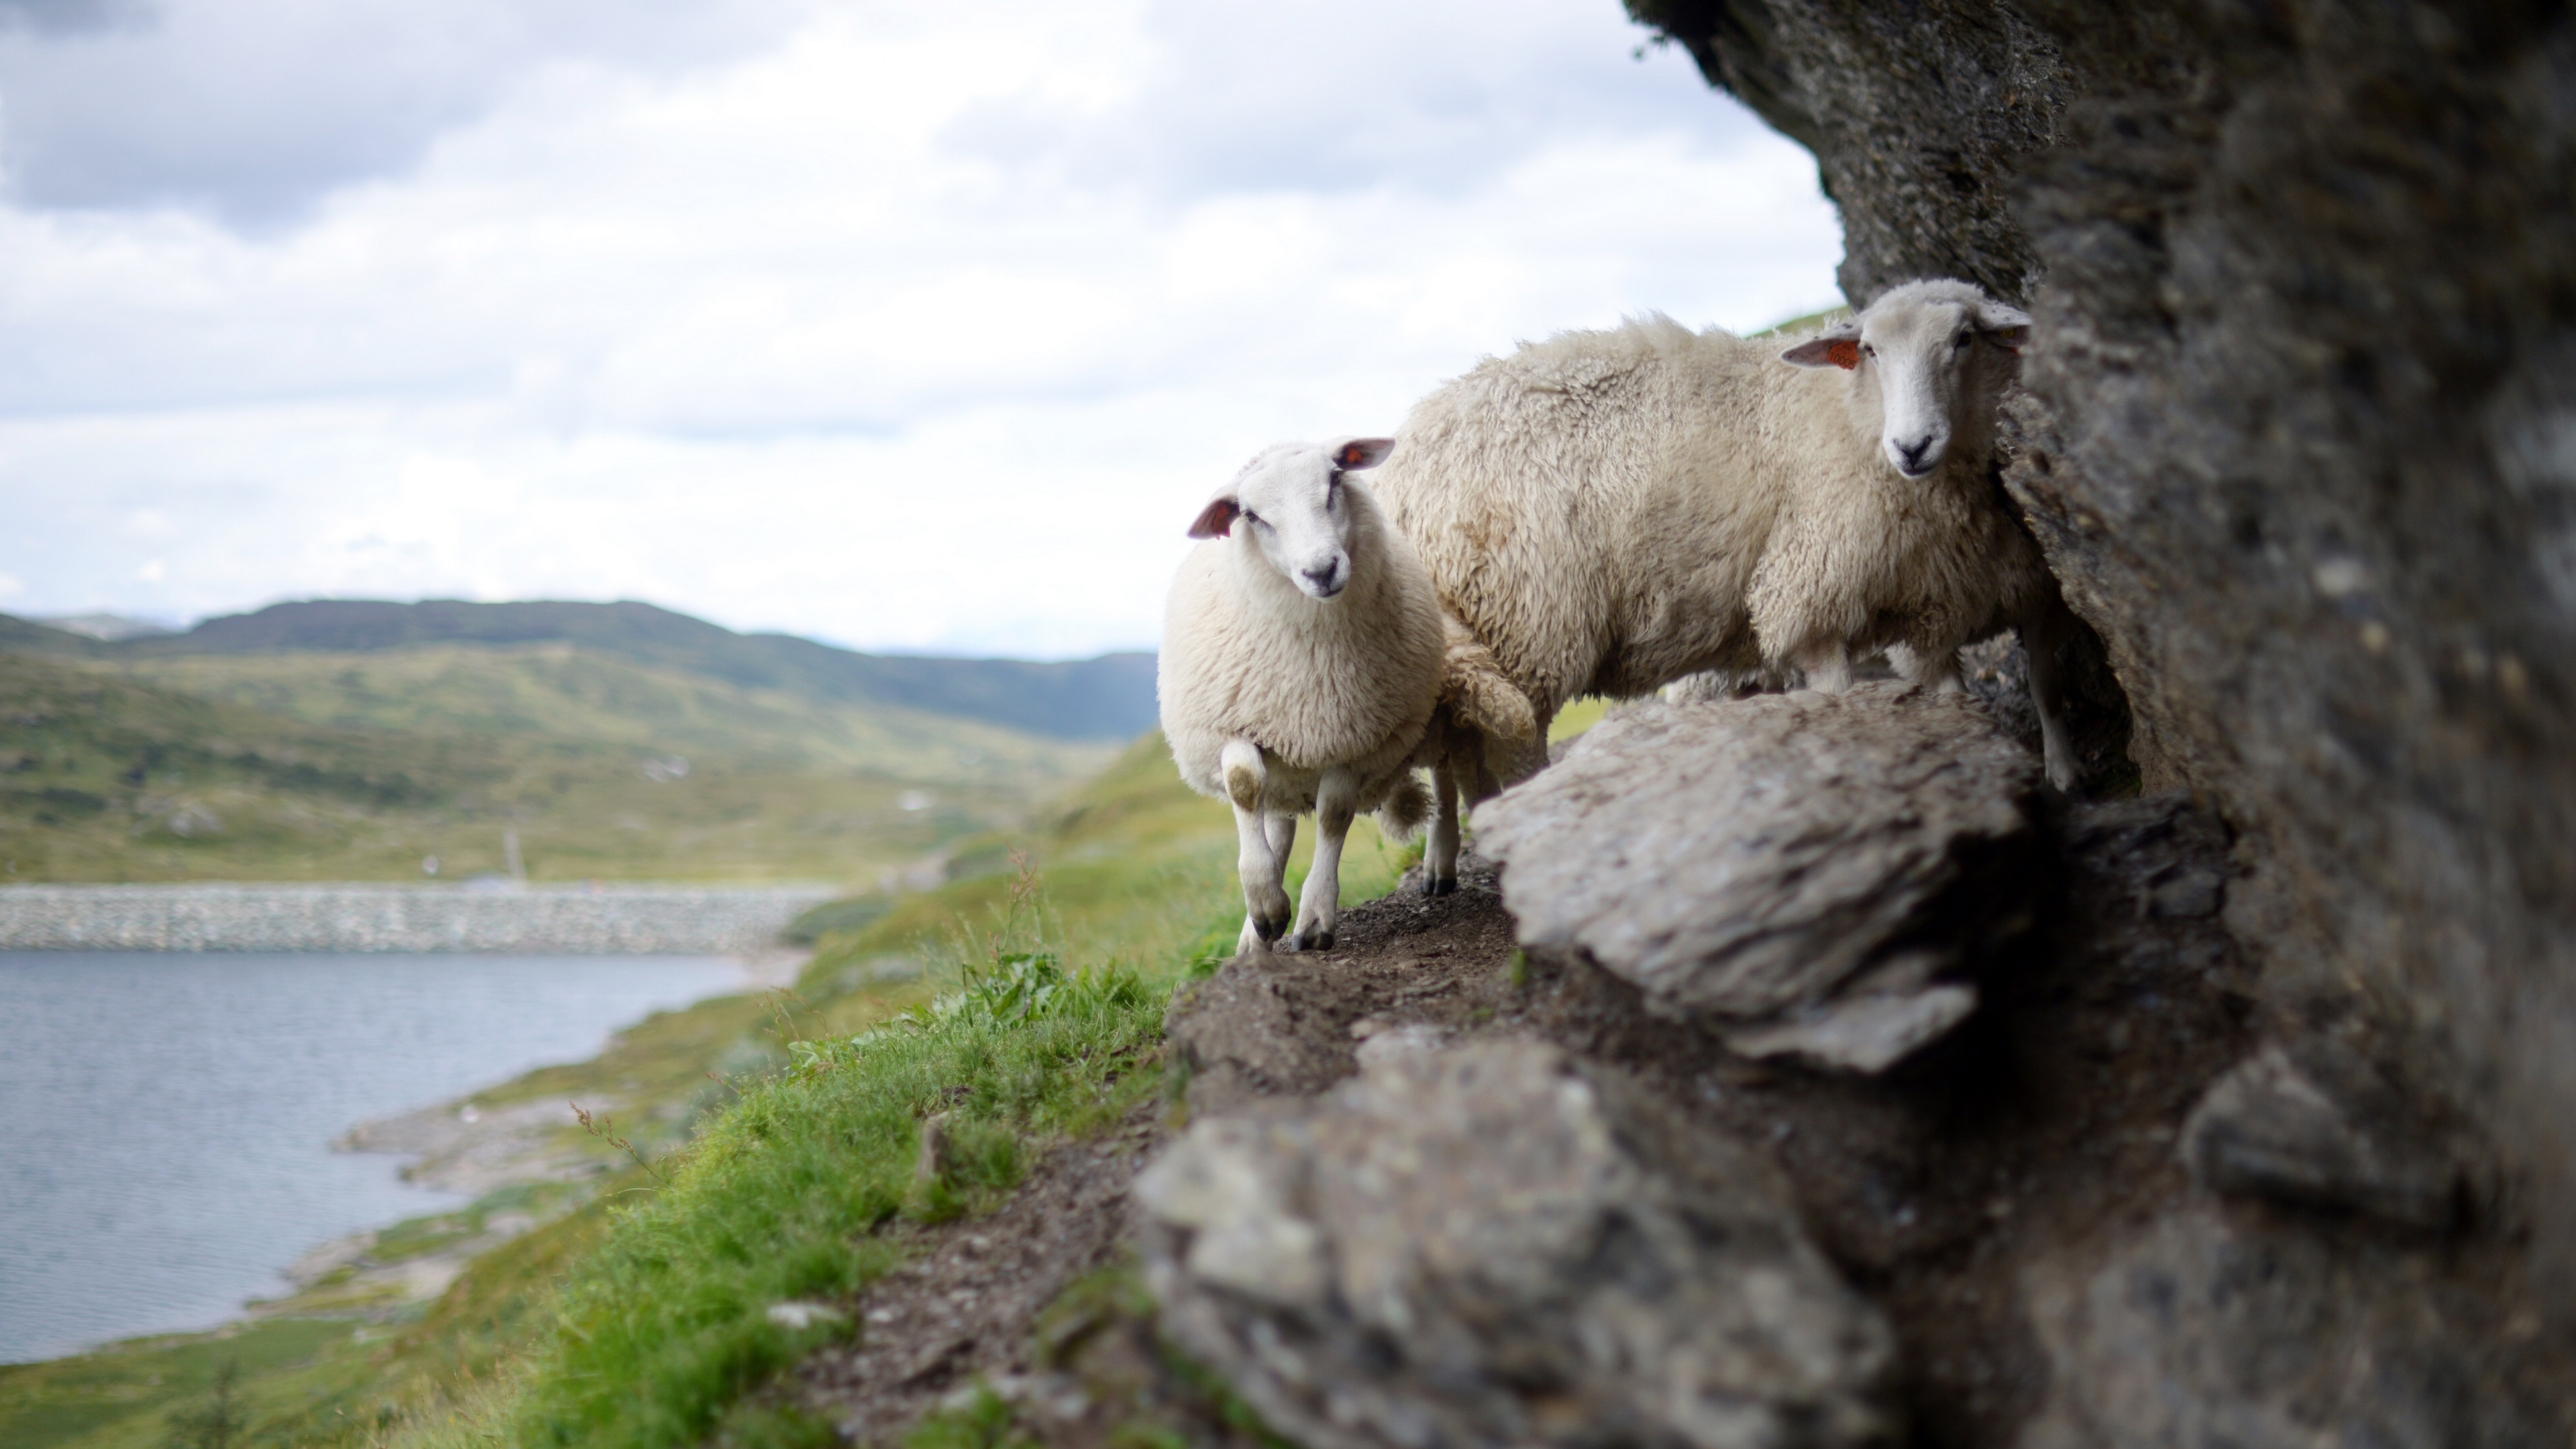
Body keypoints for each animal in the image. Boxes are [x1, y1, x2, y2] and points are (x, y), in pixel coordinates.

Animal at [1164, 433, 1452, 954]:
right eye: (1250, 515)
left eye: (1335, 479)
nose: (1321, 570)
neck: (1313, 668)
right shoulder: (1232, 723)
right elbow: (1244, 785)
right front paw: (1265, 904)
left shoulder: (1353, 737)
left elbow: (1334, 815)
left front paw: (1315, 917)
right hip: (1285, 760)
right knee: (1275, 818)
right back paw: (1255, 933)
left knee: (1445, 773)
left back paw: (1441, 861)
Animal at [1381, 276, 2081, 887]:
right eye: (1870, 350)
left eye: (1964, 338)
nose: (1913, 446)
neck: (1853, 417)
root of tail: (1403, 468)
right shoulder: (1813, 594)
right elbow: (1841, 704)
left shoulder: (1973, 596)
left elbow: (2033, 689)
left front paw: (2056, 776)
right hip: (1526, 625)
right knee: (1507, 756)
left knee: (1458, 751)